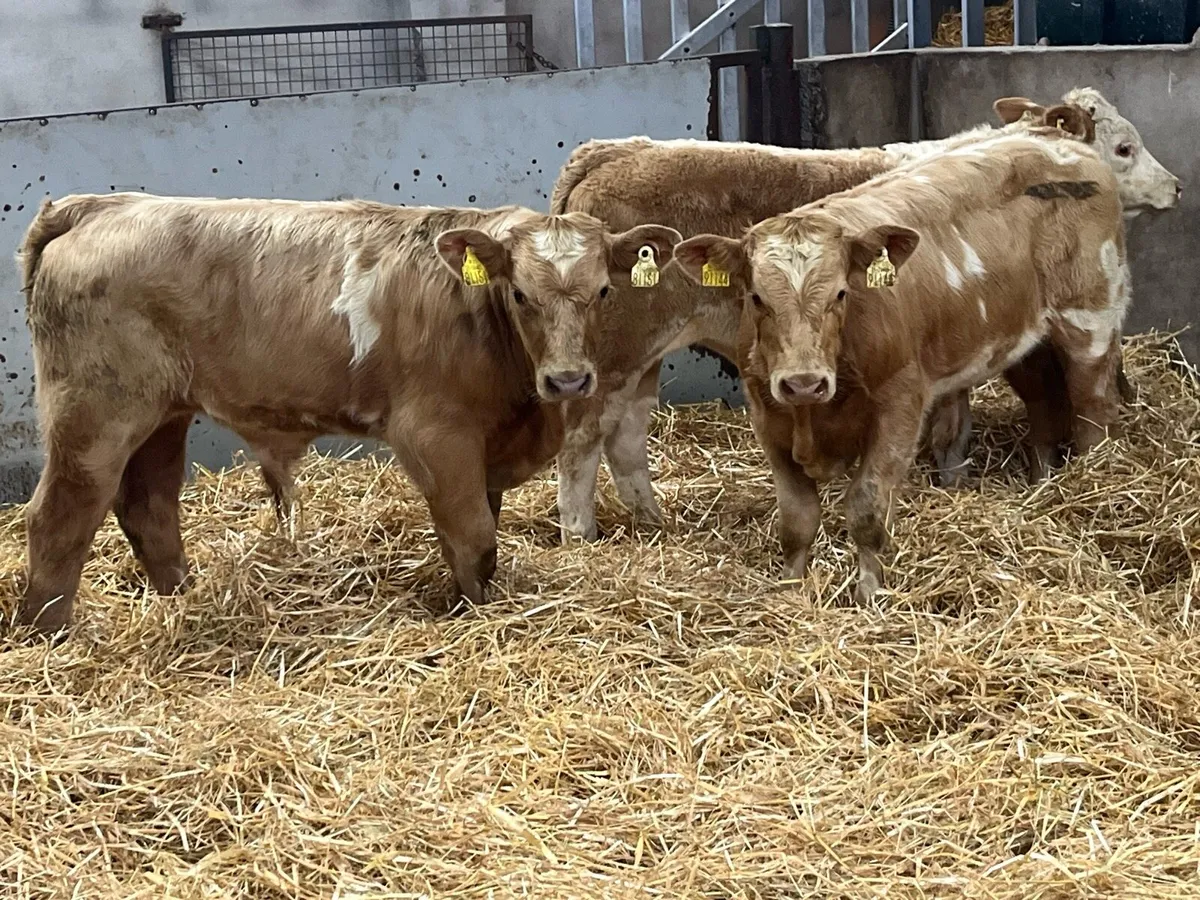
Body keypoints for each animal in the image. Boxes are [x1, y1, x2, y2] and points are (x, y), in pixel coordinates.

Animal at [14, 193, 681, 634]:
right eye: (520, 294)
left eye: (603, 291)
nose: (568, 379)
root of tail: (102, 205)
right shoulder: (434, 435)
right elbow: (474, 538)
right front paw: (473, 615)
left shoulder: (484, 443)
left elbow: (478, 532)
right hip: (93, 416)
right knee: (59, 517)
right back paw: (47, 634)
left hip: (163, 415)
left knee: (148, 507)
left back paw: (185, 597)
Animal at [550, 88, 1178, 542]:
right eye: (1124, 148)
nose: (1175, 187)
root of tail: (610, 151)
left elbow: (951, 424)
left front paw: (949, 481)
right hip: (614, 353)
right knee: (581, 439)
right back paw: (581, 534)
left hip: (641, 356)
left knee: (624, 437)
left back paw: (651, 522)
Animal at [670, 128, 1128, 601]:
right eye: (757, 297)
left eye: (841, 293)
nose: (803, 383)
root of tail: (1053, 136)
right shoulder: (768, 419)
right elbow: (797, 519)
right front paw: (791, 589)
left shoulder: (899, 408)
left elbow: (867, 508)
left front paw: (869, 593)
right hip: (1023, 341)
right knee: (1044, 406)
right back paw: (1042, 481)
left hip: (1090, 319)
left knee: (1093, 410)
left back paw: (1093, 477)